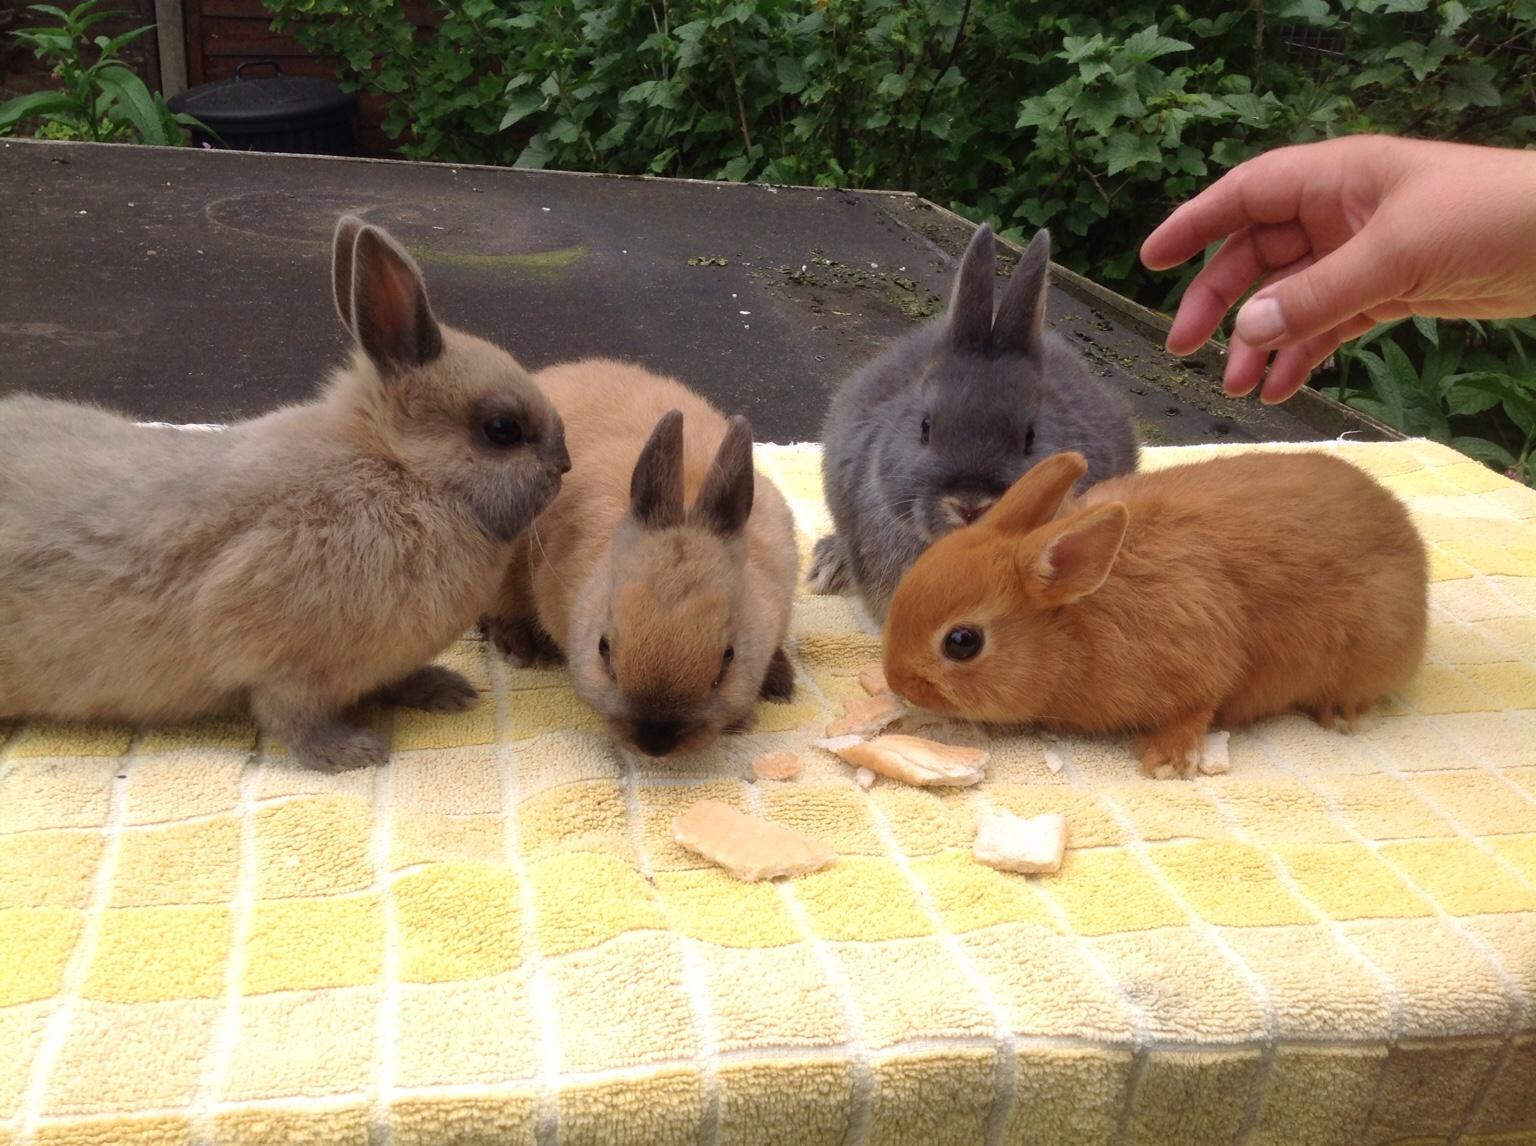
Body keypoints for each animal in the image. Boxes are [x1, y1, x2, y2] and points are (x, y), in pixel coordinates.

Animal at [0, 215, 571, 768]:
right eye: (501, 430)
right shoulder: (282, 664)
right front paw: (352, 754)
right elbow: (290, 718)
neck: (403, 473)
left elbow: (395, 678)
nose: (564, 465)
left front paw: (446, 690)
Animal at [884, 445, 1431, 777]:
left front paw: (1164, 760)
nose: (896, 682)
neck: (1075, 624)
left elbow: (1200, 704)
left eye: (962, 642)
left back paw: (1339, 714)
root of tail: (1409, 541)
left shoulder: (1203, 654)